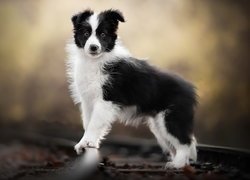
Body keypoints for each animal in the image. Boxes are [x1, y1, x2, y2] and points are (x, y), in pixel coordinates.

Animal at [66, 9, 197, 168]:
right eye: (85, 33)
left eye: (103, 34)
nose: (93, 47)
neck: (95, 61)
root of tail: (190, 89)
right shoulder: (88, 101)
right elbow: (88, 122)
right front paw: (88, 144)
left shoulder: (107, 100)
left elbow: (94, 124)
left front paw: (86, 142)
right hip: (159, 125)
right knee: (177, 144)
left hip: (171, 118)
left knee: (185, 142)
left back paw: (177, 165)